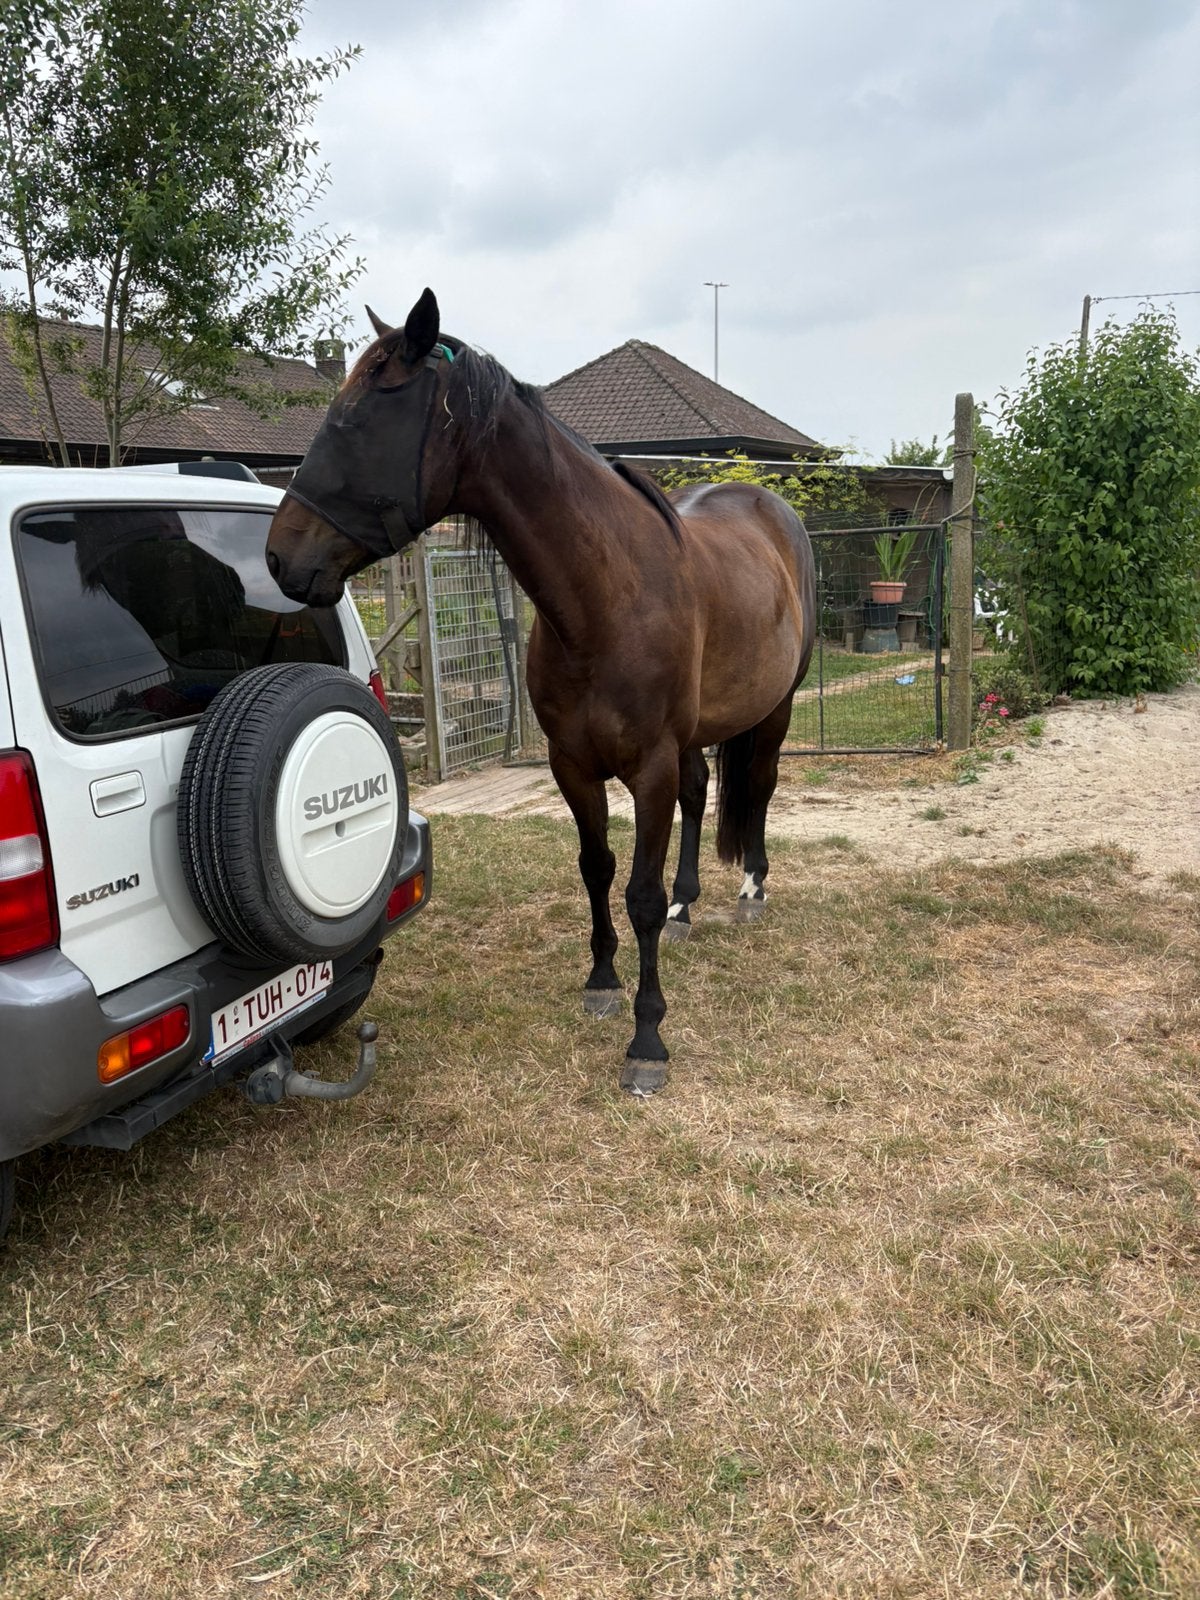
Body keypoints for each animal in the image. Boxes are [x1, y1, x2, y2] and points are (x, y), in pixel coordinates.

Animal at [266, 288, 816, 1097]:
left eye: (354, 422)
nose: (279, 557)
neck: (606, 595)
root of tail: (772, 509)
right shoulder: (572, 765)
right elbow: (597, 870)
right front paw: (602, 981)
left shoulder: (647, 766)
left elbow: (638, 894)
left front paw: (647, 1040)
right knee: (700, 791)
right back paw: (689, 905)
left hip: (773, 710)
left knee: (761, 788)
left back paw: (750, 891)